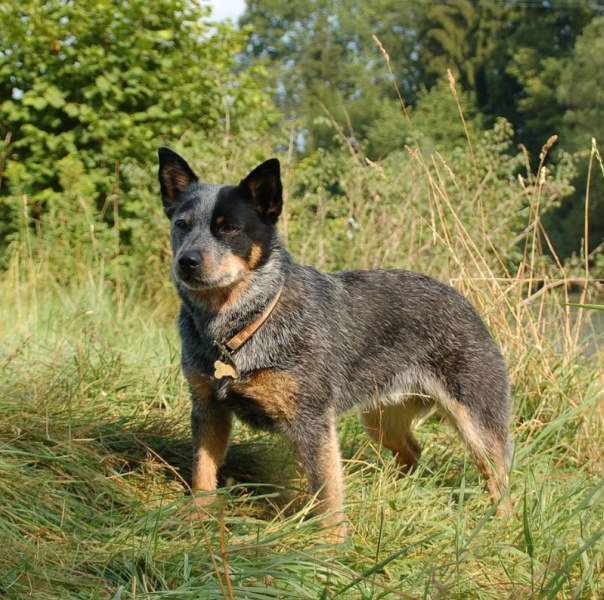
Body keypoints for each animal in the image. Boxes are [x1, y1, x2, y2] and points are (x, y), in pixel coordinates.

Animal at [158, 148, 512, 536]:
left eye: (228, 227)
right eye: (182, 224)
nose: (186, 261)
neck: (242, 324)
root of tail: (464, 301)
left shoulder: (311, 422)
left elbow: (327, 492)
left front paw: (330, 544)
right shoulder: (208, 409)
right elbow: (202, 473)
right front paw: (197, 518)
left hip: (476, 424)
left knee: (499, 477)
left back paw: (501, 526)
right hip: (381, 421)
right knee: (413, 451)